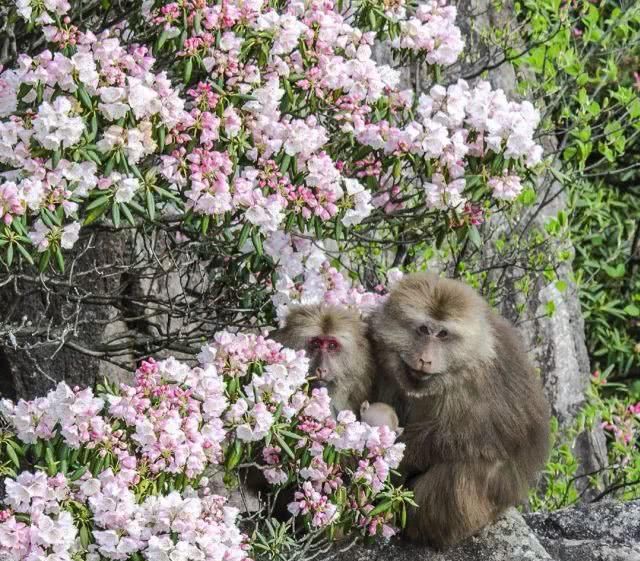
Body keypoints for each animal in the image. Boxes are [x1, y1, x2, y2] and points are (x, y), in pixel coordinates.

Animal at [370, 272, 552, 548]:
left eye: (443, 334)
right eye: (424, 330)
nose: (424, 359)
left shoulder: (476, 386)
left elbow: (467, 437)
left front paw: (400, 459)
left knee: (466, 468)